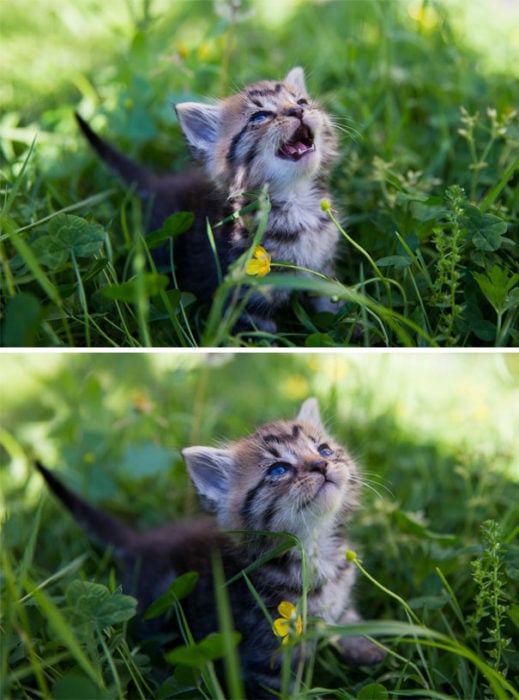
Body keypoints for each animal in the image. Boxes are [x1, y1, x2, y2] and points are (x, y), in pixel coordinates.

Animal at [36, 396, 384, 696]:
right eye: (278, 469)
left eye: (324, 450)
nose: (321, 466)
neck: (315, 547)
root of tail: (140, 541)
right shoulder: (269, 652)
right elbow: (282, 688)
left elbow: (345, 617)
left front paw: (368, 646)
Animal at [78, 67, 342, 334]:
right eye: (259, 117)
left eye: (302, 102)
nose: (297, 111)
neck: (297, 202)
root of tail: (159, 183)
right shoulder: (247, 303)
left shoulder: (323, 271)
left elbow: (332, 306)